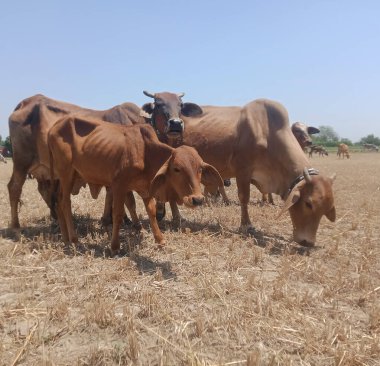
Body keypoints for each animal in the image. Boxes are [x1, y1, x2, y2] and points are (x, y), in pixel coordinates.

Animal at [142, 91, 336, 247]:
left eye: (326, 208)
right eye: (308, 203)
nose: (307, 242)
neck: (267, 131)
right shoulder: (243, 171)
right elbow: (244, 198)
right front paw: (247, 225)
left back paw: (177, 217)